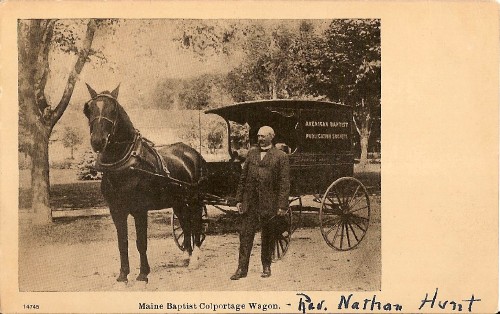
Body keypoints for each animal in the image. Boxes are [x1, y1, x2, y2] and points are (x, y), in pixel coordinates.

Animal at [83, 84, 206, 284]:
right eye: (89, 109)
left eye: (113, 109)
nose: (98, 141)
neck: (125, 165)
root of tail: (192, 153)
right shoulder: (117, 210)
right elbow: (122, 243)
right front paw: (123, 275)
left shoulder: (140, 209)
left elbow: (141, 242)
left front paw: (143, 274)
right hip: (179, 202)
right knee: (185, 224)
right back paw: (186, 255)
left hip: (195, 200)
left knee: (195, 223)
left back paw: (194, 258)